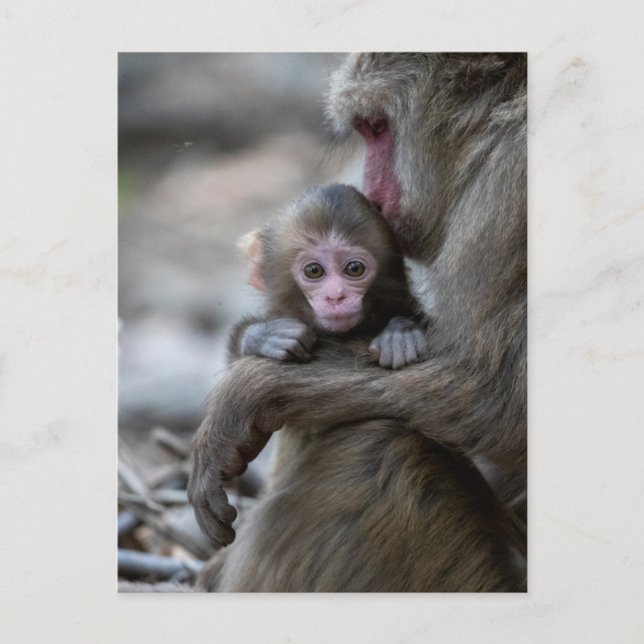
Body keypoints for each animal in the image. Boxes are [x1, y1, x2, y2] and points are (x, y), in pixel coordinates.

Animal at [189, 53, 527, 592]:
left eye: (375, 126)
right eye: (313, 272)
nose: (371, 189)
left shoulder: (513, 182)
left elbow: (495, 399)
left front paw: (246, 392)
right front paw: (263, 339)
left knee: (381, 448)